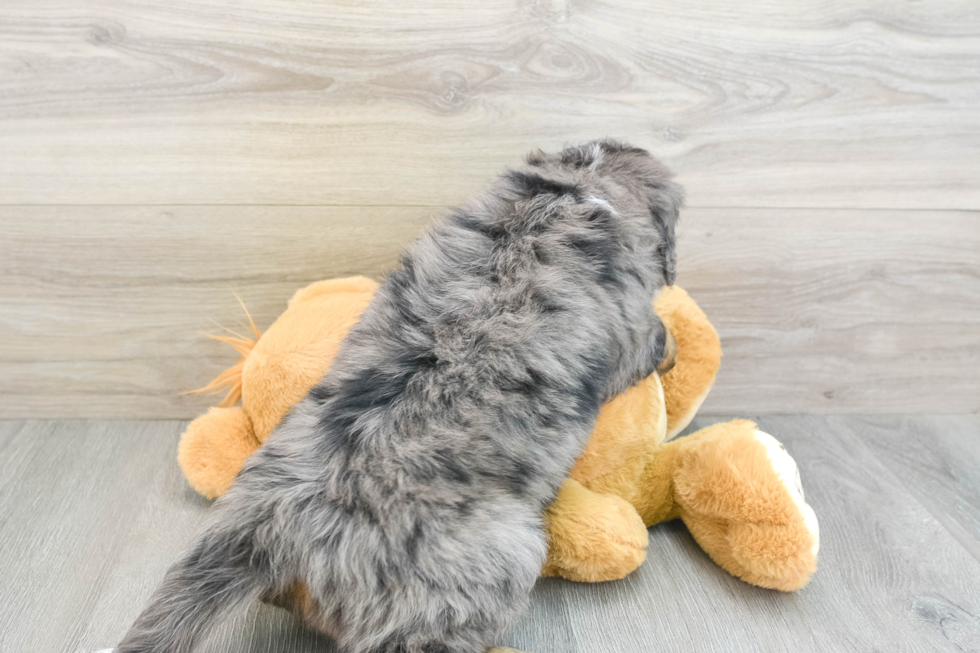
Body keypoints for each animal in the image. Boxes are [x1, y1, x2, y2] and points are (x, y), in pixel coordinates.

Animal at [115, 139, 680, 652]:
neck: (570, 187)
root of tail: (267, 528)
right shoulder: (629, 329)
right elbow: (654, 332)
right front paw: (673, 344)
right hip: (494, 561)